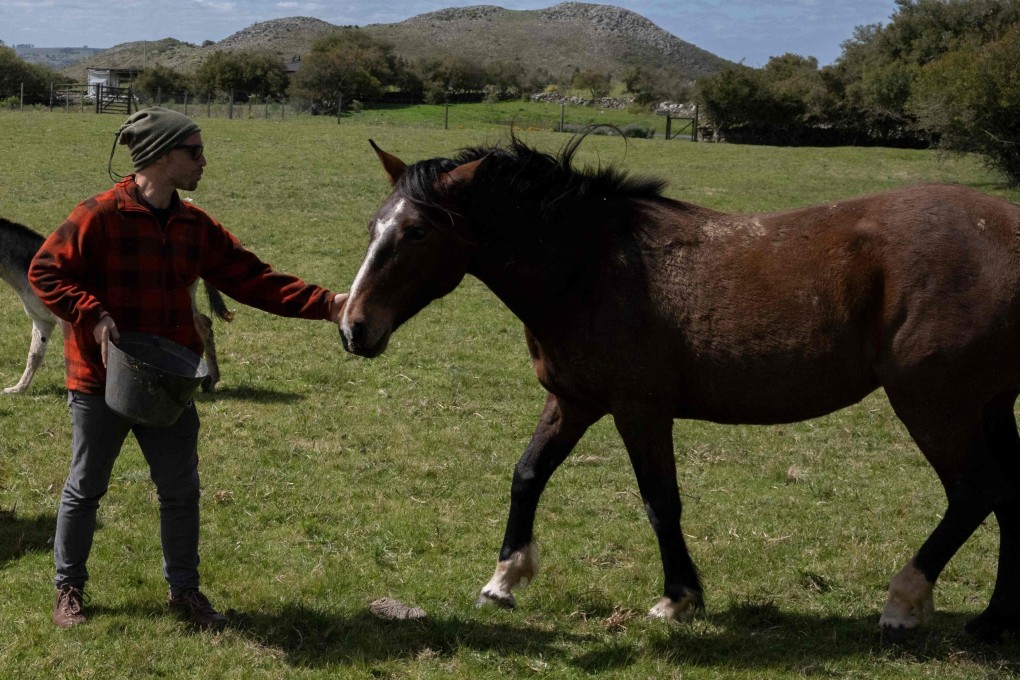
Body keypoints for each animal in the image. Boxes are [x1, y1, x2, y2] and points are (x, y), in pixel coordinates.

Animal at [339, 134, 1020, 642]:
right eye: (373, 225)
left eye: (418, 232)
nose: (353, 327)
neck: (590, 267)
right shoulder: (573, 401)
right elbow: (527, 474)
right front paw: (504, 579)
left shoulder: (640, 411)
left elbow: (659, 501)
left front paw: (678, 599)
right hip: (989, 406)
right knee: (1007, 498)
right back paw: (991, 623)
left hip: (934, 406)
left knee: (974, 493)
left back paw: (904, 603)